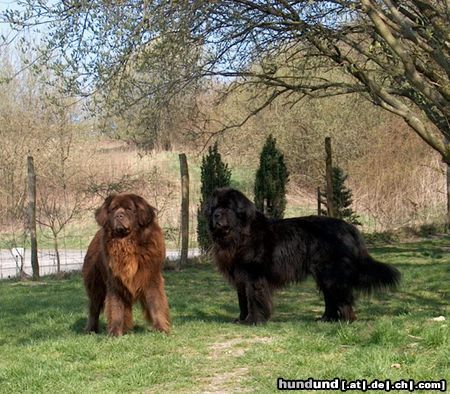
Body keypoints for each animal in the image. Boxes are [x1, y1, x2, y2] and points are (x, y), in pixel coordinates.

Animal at [82, 192, 171, 334]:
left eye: (129, 209)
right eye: (113, 209)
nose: (119, 215)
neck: (127, 243)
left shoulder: (152, 277)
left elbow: (156, 304)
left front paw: (161, 328)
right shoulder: (114, 281)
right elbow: (116, 307)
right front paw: (115, 331)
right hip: (95, 284)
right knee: (94, 308)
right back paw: (91, 330)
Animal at [204, 188, 400, 324]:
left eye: (228, 207)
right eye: (214, 207)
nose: (216, 215)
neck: (239, 235)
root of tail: (350, 228)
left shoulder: (253, 275)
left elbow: (254, 299)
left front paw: (253, 321)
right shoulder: (240, 277)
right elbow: (242, 300)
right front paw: (241, 319)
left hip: (332, 273)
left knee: (342, 296)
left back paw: (345, 320)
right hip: (322, 274)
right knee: (330, 297)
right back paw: (326, 319)